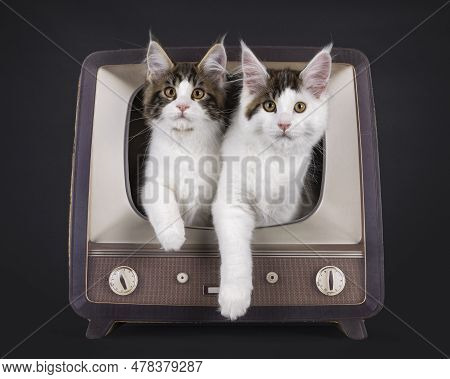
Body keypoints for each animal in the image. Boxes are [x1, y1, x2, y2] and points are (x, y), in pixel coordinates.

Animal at [142, 40, 227, 252]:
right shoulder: (152, 182)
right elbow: (164, 202)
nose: (182, 106)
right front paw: (172, 238)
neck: (184, 141)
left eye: (198, 93)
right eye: (170, 92)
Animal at [213, 42, 332, 320]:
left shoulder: (286, 210)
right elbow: (236, 252)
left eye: (299, 107)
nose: (284, 124)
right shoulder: (231, 203)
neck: (273, 157)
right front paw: (234, 298)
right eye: (269, 106)